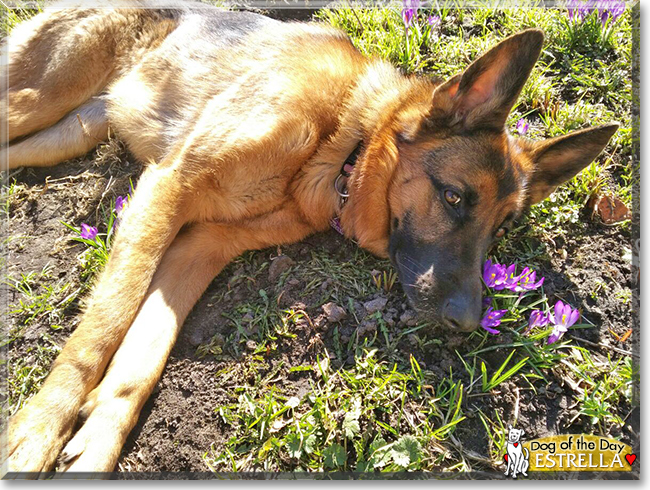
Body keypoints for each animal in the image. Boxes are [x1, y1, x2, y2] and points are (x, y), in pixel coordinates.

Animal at [1, 0, 616, 474]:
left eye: (502, 229)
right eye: (454, 198)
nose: (468, 323)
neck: (343, 141)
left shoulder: (199, 244)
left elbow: (143, 354)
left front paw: (99, 438)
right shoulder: (168, 190)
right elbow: (103, 326)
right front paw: (38, 433)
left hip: (66, 134)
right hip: (33, 102)